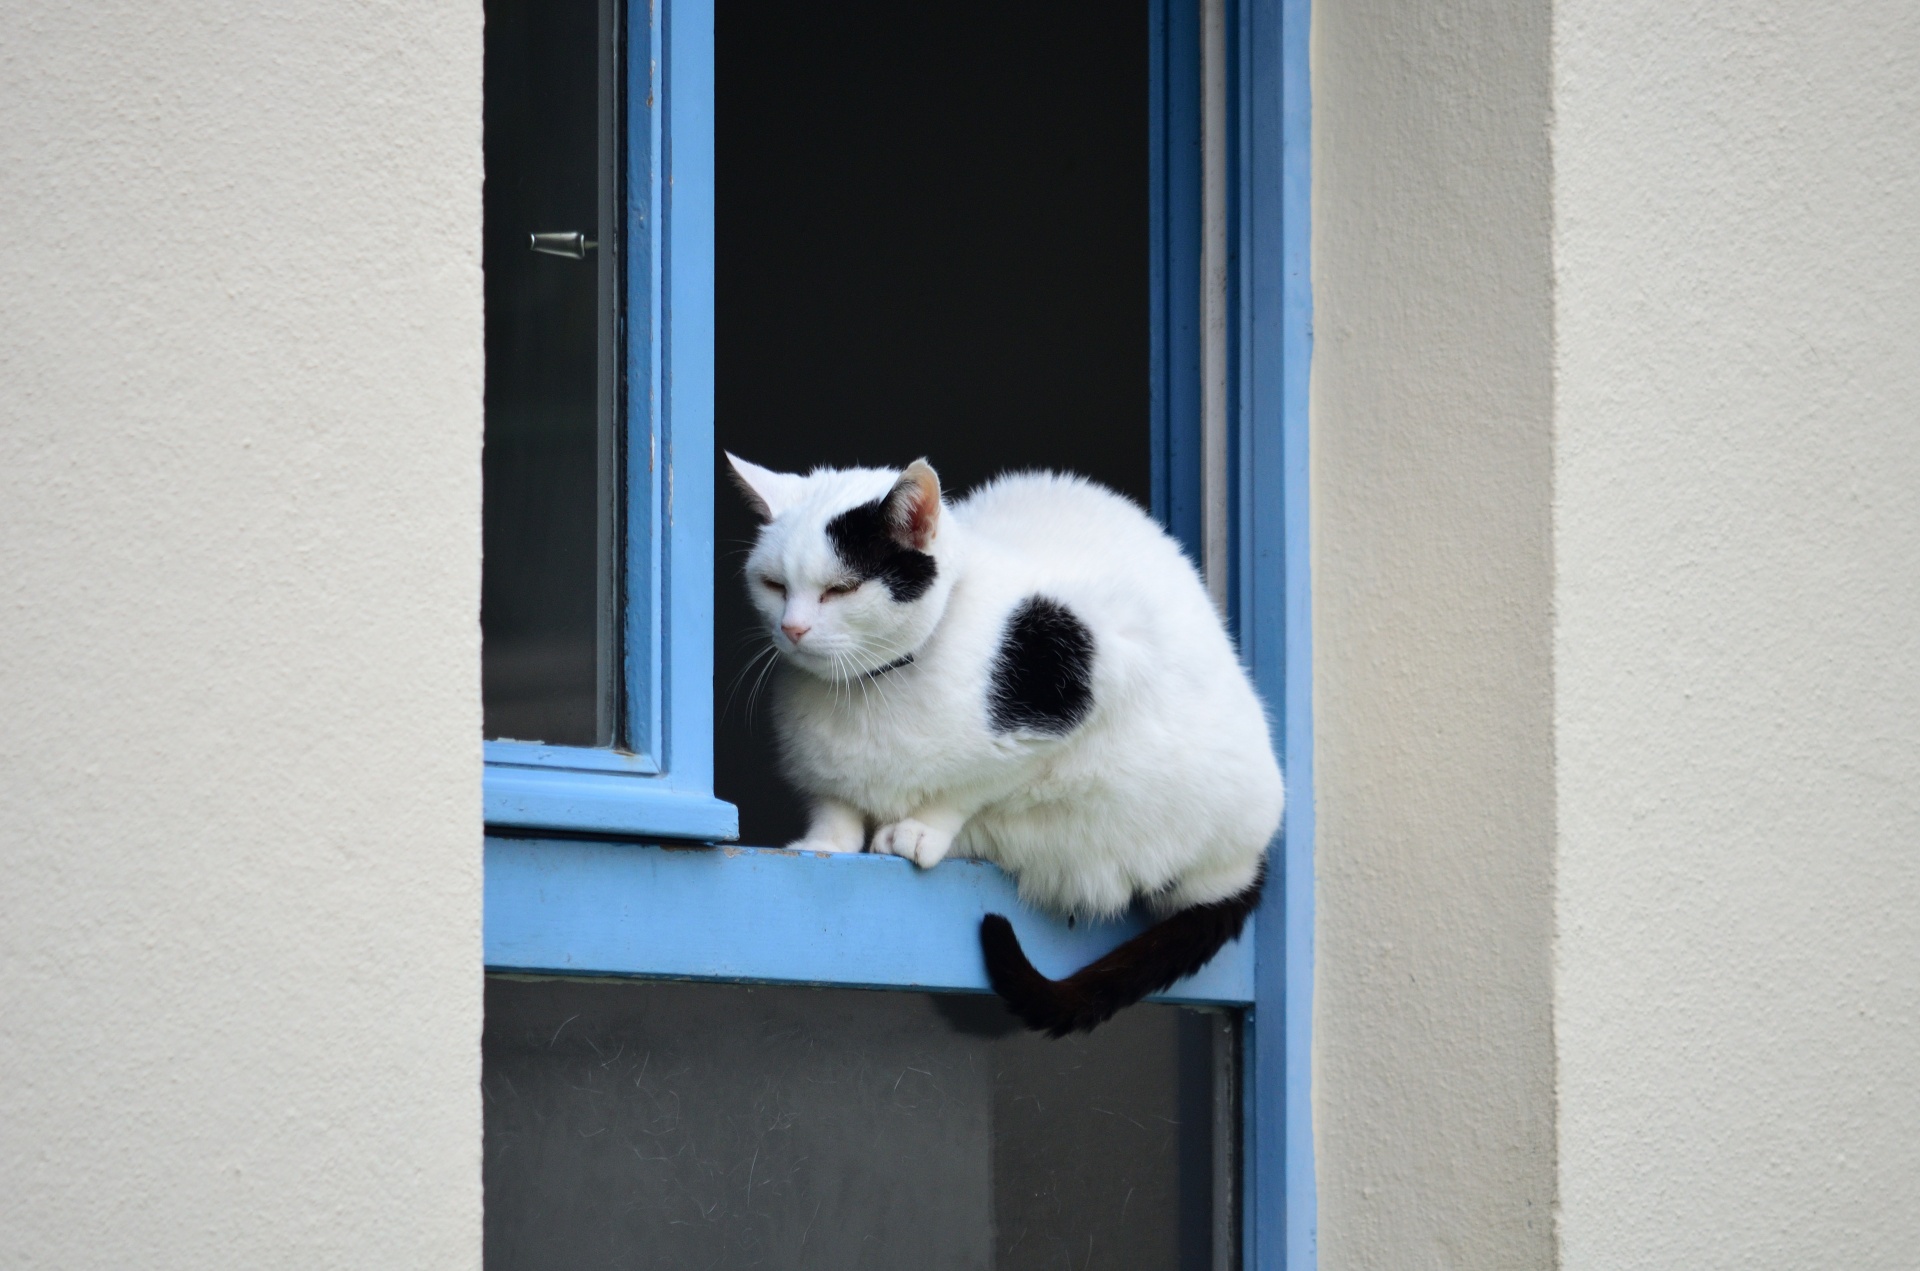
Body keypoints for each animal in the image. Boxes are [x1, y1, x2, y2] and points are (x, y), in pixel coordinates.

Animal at [725, 455, 1282, 1036]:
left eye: (841, 589)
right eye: (773, 585)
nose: (792, 628)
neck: (867, 687)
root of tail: (1246, 864)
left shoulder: (1084, 676)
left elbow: (973, 784)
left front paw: (924, 827)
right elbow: (834, 802)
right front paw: (827, 842)